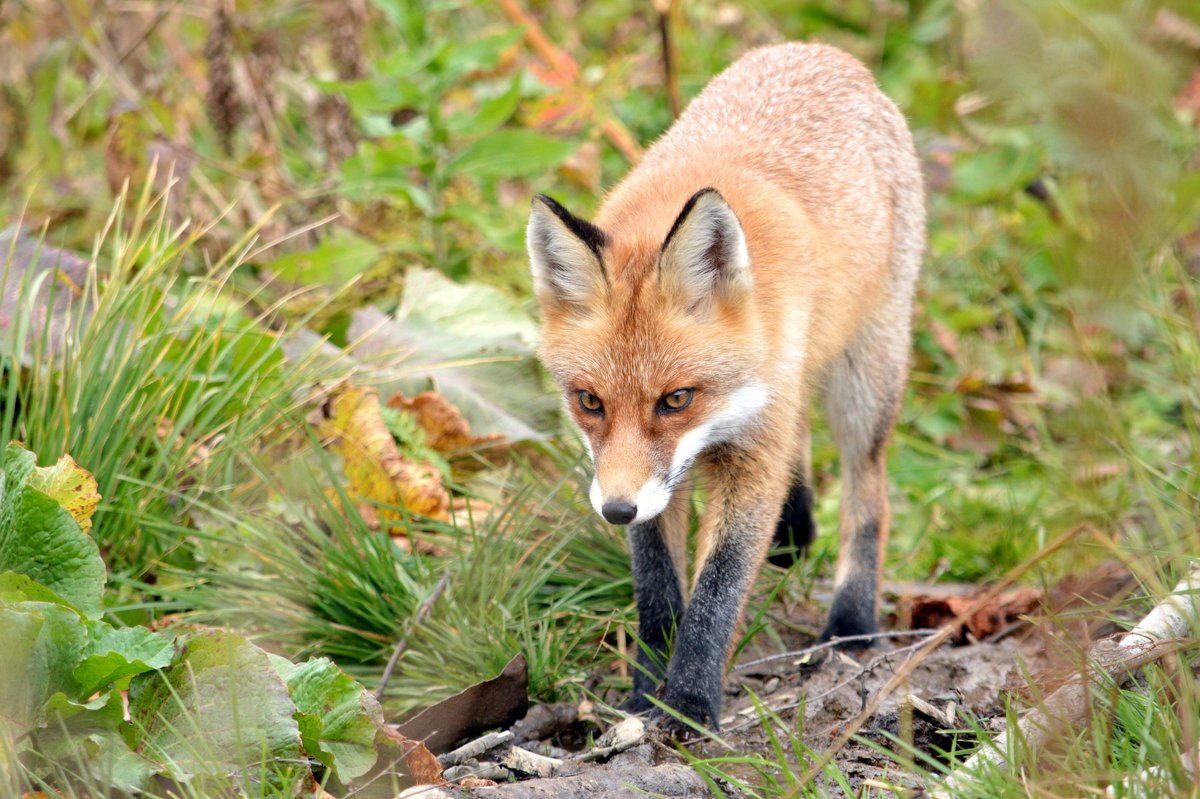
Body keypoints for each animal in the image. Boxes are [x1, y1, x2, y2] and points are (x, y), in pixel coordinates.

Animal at [520, 41, 921, 729]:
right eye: (590, 402)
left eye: (676, 399)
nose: (614, 511)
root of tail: (822, 52)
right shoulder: (644, 477)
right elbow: (658, 591)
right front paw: (645, 693)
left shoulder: (750, 454)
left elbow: (718, 589)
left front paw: (688, 704)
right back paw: (795, 534)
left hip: (865, 379)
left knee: (870, 494)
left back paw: (852, 622)